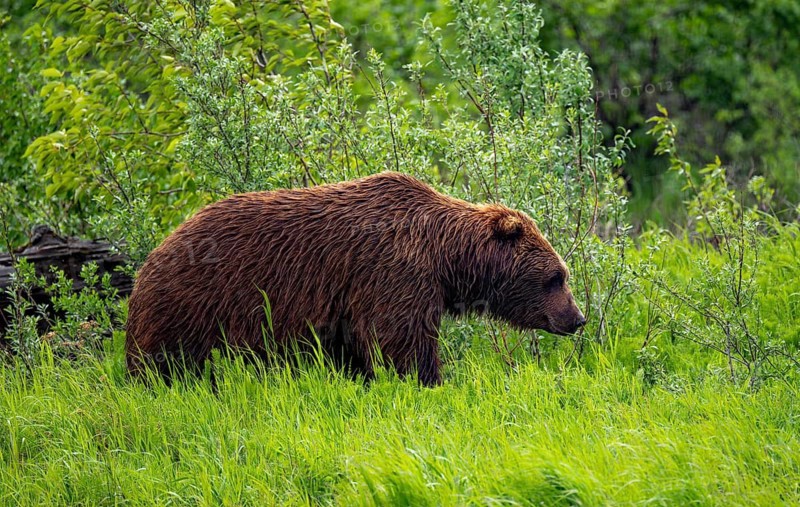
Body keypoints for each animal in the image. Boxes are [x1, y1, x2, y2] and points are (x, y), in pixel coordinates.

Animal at [125, 172, 585, 385]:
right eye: (557, 276)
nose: (577, 319)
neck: (444, 257)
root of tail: (150, 257)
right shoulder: (392, 273)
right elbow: (399, 341)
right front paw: (431, 381)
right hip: (193, 302)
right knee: (166, 361)